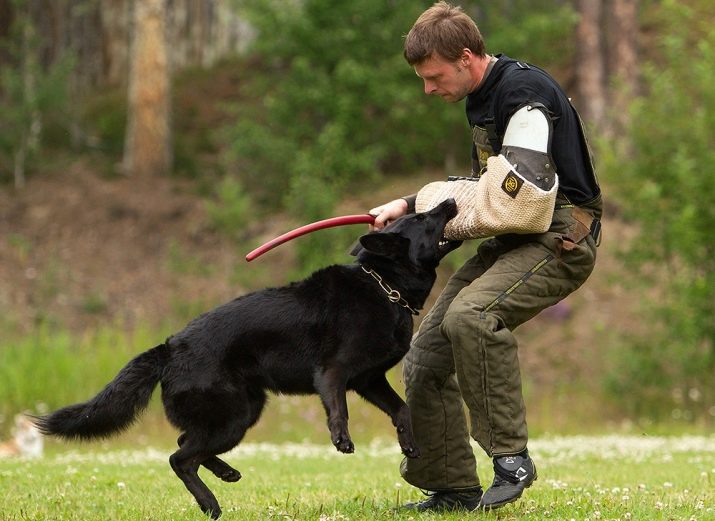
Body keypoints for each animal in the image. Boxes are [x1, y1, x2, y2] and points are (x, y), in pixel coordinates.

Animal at [35, 198, 458, 516]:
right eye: (423, 218)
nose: (451, 199)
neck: (385, 287)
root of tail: (169, 346)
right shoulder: (333, 374)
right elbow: (339, 408)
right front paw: (341, 438)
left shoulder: (369, 380)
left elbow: (401, 409)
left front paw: (409, 444)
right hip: (234, 416)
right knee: (180, 458)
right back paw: (210, 503)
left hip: (241, 412)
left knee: (186, 444)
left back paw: (225, 474)